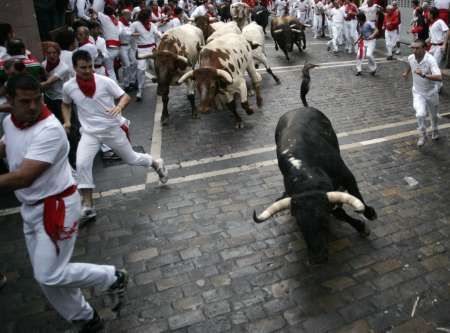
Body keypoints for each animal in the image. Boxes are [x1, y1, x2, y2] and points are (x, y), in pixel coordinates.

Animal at [253, 109, 376, 264]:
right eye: (299, 223)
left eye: (323, 219)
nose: (317, 257)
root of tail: (297, 109)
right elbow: (339, 213)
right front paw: (360, 226)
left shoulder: (347, 176)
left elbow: (356, 195)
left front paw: (369, 215)